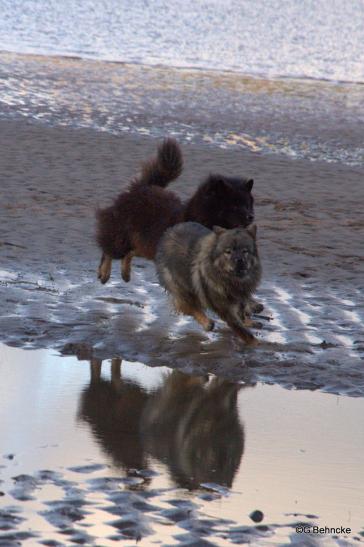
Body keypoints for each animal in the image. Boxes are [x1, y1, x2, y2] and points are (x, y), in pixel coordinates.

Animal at [96, 137, 256, 284]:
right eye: (234, 206)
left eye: (247, 205)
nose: (251, 216)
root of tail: (142, 187)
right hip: (123, 235)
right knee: (109, 250)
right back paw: (104, 273)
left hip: (144, 243)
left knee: (129, 252)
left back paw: (125, 273)